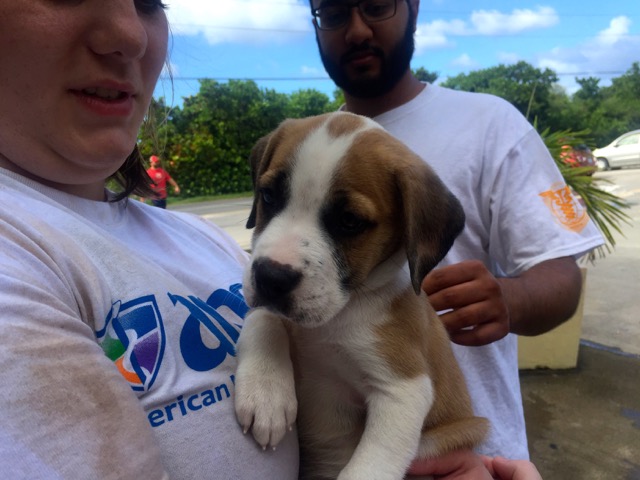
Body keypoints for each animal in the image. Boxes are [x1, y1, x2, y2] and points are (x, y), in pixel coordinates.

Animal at [232, 113, 488, 480]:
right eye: (267, 196)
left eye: (349, 221)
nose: (270, 277)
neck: (336, 316)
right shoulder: (269, 308)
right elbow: (263, 319)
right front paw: (265, 392)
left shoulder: (402, 388)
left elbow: (369, 466)